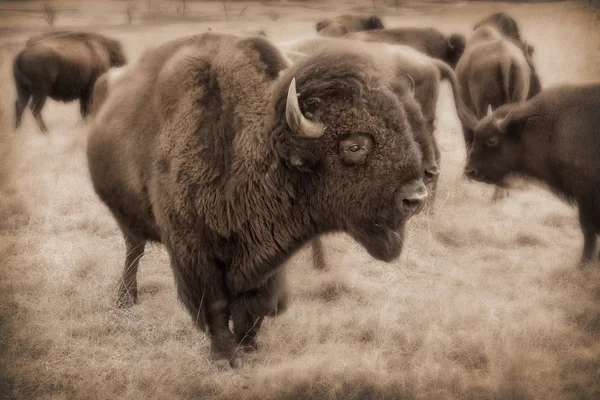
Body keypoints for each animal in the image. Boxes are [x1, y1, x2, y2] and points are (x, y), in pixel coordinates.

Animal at [86, 33, 428, 368]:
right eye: (354, 146)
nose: (416, 197)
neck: (248, 149)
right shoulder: (194, 250)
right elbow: (216, 304)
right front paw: (225, 358)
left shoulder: (266, 256)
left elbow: (254, 304)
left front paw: (249, 347)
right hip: (126, 216)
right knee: (134, 250)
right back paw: (126, 298)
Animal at [464, 82, 600, 266]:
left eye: (492, 140)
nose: (469, 171)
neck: (552, 128)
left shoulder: (586, 196)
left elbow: (588, 229)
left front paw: (584, 264)